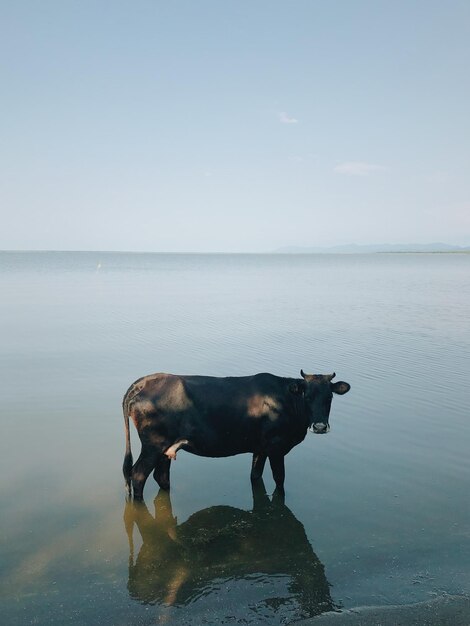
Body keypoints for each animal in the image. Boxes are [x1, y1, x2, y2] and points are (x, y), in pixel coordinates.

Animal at [121, 366, 348, 498]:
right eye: (307, 396)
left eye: (329, 397)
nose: (320, 426)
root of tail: (143, 382)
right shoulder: (276, 447)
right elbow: (279, 479)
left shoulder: (260, 448)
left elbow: (255, 475)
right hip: (153, 444)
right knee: (138, 474)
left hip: (165, 448)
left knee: (161, 476)